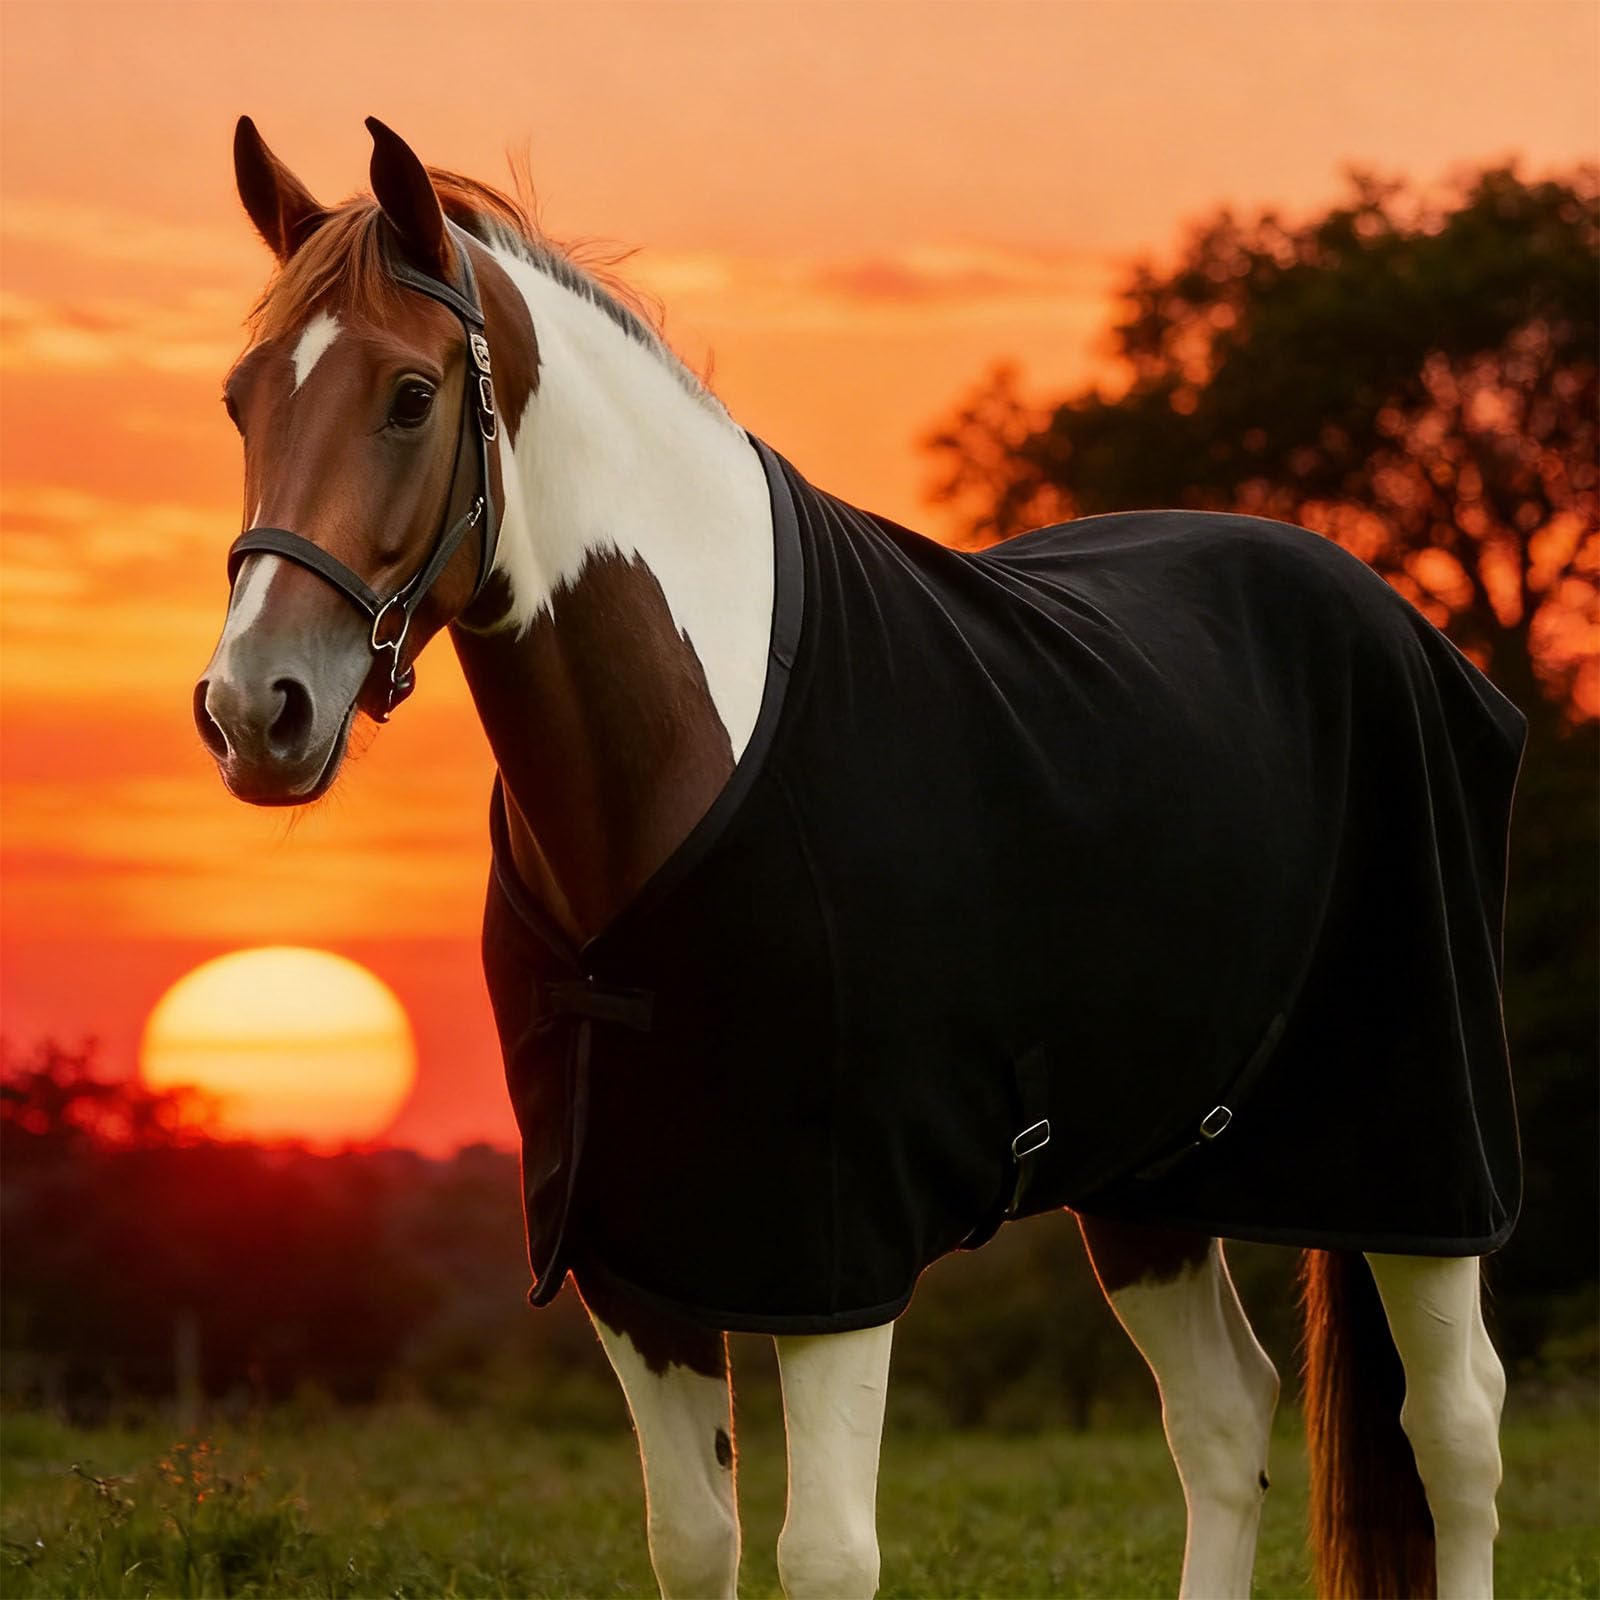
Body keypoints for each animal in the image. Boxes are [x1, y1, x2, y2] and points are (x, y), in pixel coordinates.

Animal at [196, 116, 1524, 1600]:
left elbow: (825, 1553)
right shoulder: (630, 1254)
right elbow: (694, 1543)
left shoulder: (834, 1252)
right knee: (1224, 1416)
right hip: (1148, 1173)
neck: (691, 752)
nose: (254, 709)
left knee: (1456, 1429)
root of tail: (1395, 621)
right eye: (242, 401)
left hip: (1418, 1145)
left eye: (412, 396)